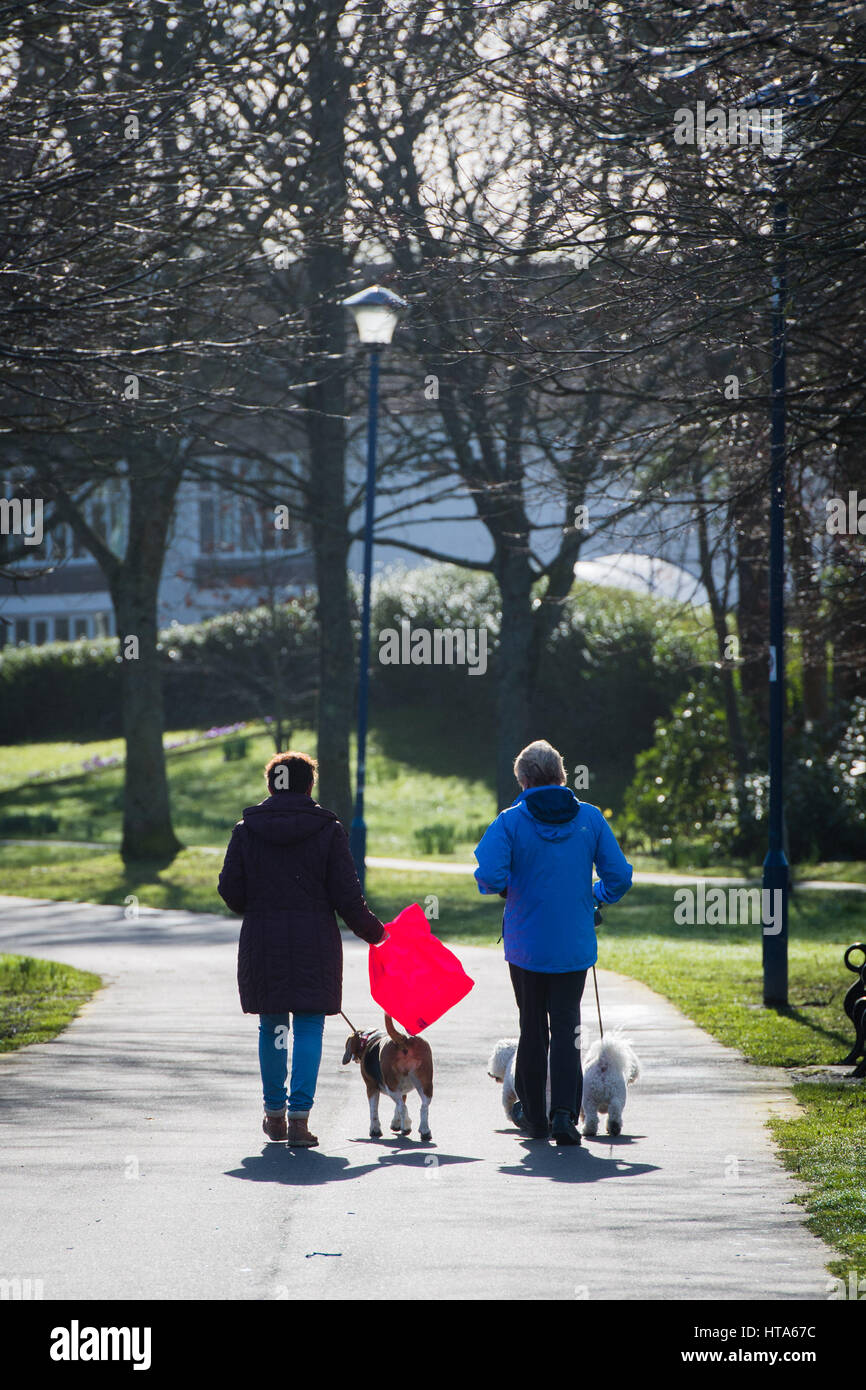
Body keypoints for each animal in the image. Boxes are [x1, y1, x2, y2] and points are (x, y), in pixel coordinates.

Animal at [340, 1011, 430, 1139]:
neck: (368, 1038)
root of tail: (404, 1039)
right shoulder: (402, 1090)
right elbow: (398, 1107)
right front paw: (396, 1123)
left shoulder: (371, 1087)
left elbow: (374, 1111)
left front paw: (375, 1130)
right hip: (425, 1084)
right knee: (423, 1106)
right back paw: (425, 1130)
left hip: (391, 1087)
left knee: (403, 1107)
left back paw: (407, 1126)